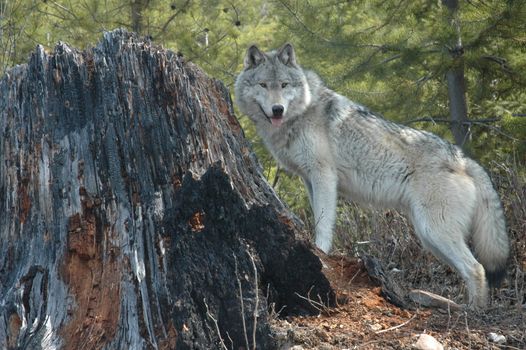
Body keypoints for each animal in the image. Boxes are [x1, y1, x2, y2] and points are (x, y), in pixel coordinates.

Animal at [236, 43, 512, 308]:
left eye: (284, 85)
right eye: (263, 85)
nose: (277, 109)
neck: (301, 112)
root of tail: (463, 159)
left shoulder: (324, 175)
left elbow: (323, 223)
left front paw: (320, 250)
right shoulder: (309, 179)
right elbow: (317, 215)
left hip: (435, 231)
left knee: (476, 268)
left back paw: (473, 311)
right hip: (429, 236)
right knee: (471, 268)